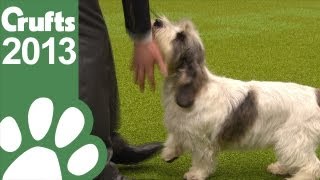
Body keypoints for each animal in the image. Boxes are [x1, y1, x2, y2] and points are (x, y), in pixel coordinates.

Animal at [152, 17, 320, 180]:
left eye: (180, 36)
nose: (157, 21)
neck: (196, 89)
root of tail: (315, 94)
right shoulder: (180, 125)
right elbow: (174, 139)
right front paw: (169, 153)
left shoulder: (202, 140)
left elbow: (202, 160)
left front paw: (196, 174)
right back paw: (279, 168)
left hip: (293, 140)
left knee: (313, 166)